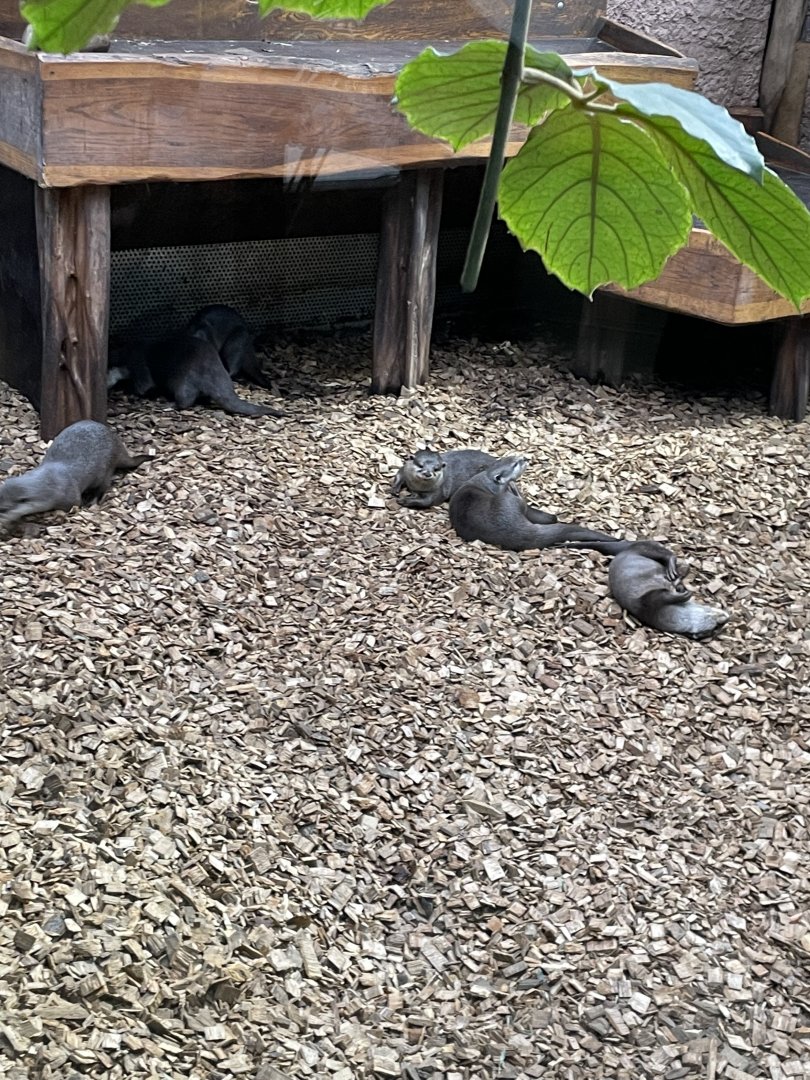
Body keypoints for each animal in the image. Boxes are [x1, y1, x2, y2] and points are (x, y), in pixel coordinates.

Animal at [0, 421, 149, 531]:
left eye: (3, 509)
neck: (51, 484)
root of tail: (116, 442)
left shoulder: (70, 497)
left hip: (106, 469)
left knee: (104, 486)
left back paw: (93, 500)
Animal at [392, 449, 557, 522]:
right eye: (420, 465)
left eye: (436, 469)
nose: (427, 473)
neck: (417, 487)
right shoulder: (405, 470)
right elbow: (399, 473)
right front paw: (395, 489)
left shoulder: (437, 492)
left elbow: (426, 501)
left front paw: (406, 500)